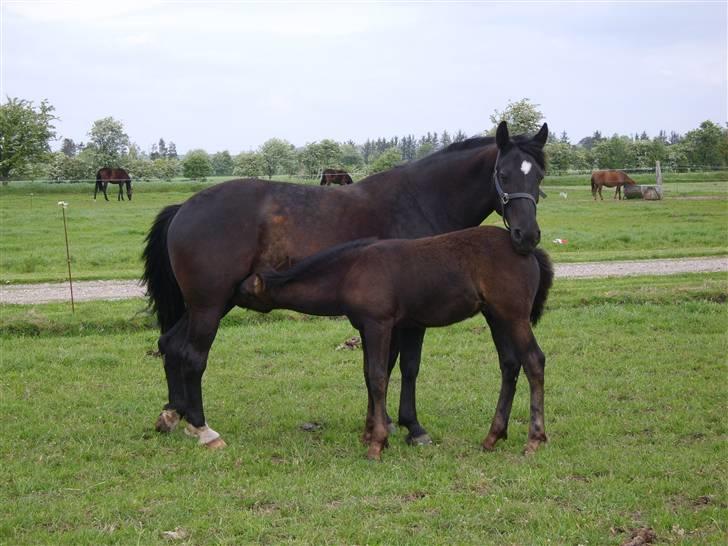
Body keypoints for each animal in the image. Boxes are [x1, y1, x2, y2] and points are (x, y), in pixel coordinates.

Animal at [237, 225, 552, 460]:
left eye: (247, 289)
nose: (232, 292)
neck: (350, 271)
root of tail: (530, 251)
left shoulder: (379, 324)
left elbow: (378, 377)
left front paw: (377, 443)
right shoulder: (365, 327)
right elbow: (369, 375)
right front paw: (368, 434)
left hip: (513, 316)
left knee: (534, 361)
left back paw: (534, 439)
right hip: (496, 316)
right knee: (509, 365)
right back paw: (493, 436)